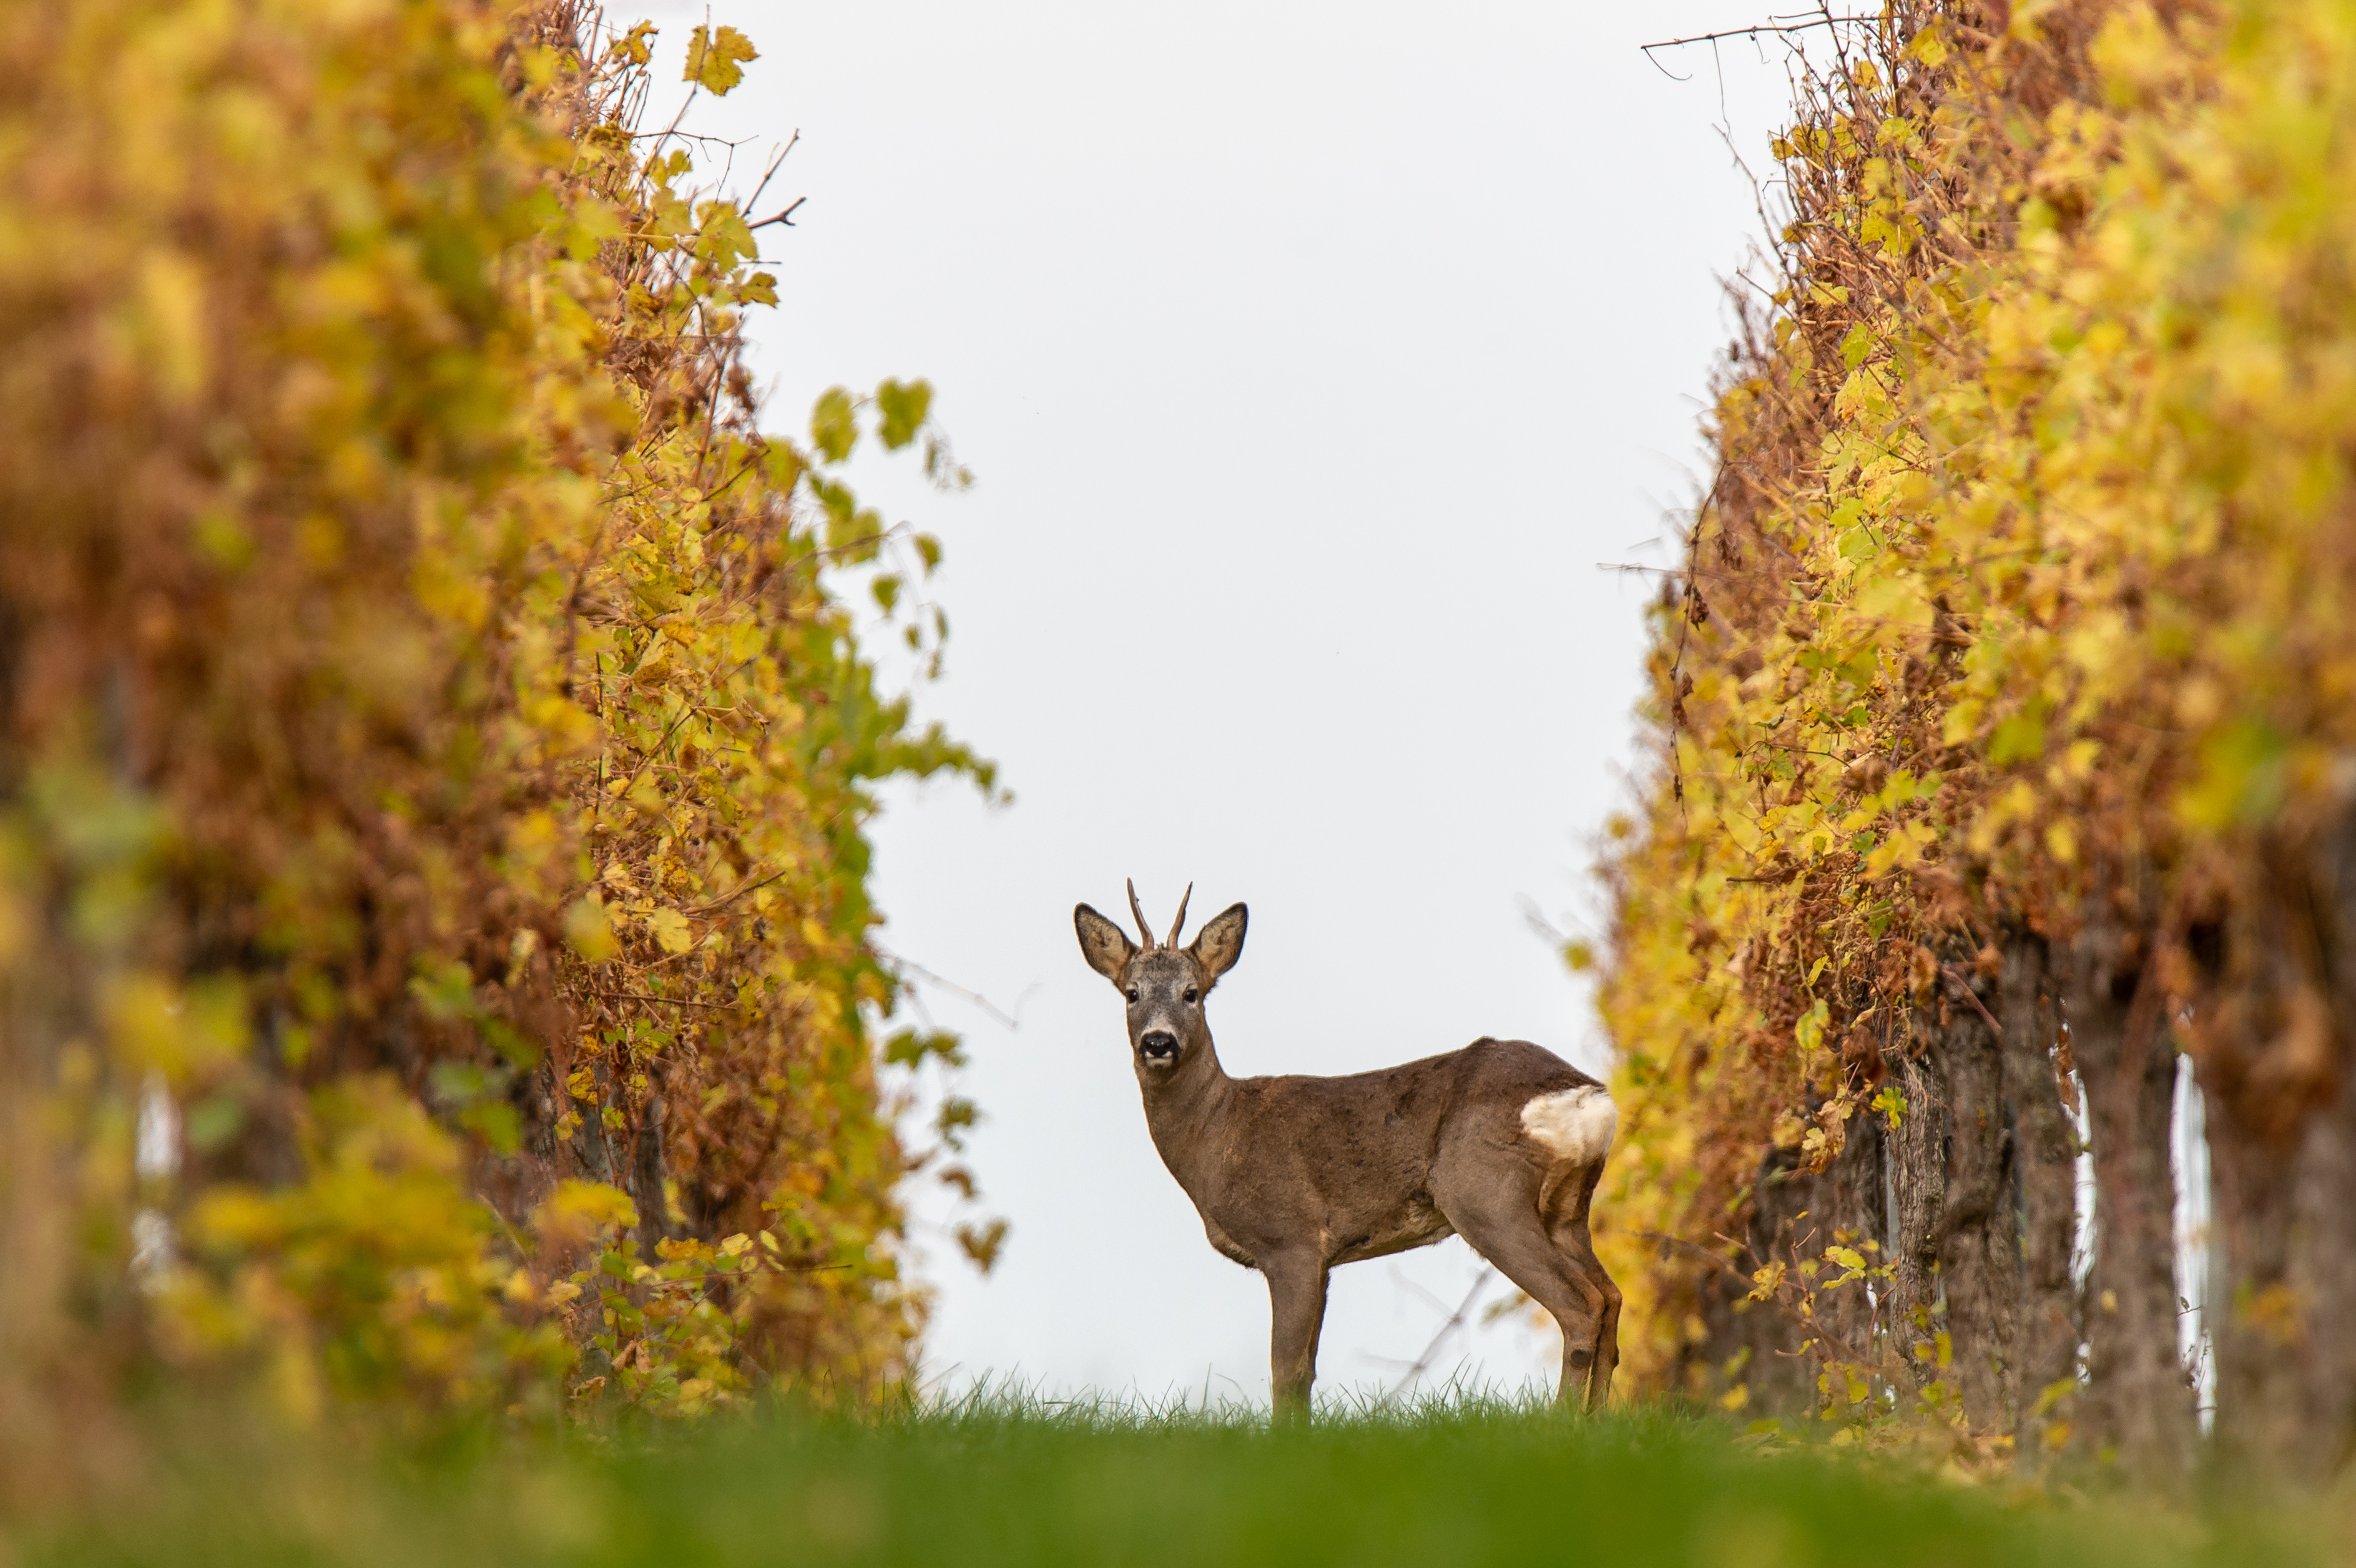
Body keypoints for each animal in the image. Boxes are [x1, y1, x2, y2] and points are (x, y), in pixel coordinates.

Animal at [1074, 880, 1611, 1413]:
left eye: (1192, 993)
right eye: (1131, 994)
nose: (1158, 1042)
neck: (1222, 1134)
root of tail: (1585, 1093)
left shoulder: (1292, 1240)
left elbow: (1285, 1373)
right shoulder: (1325, 1264)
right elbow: (1306, 1373)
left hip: (1485, 1195)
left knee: (1581, 1306)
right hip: (1567, 1211)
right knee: (1611, 1298)